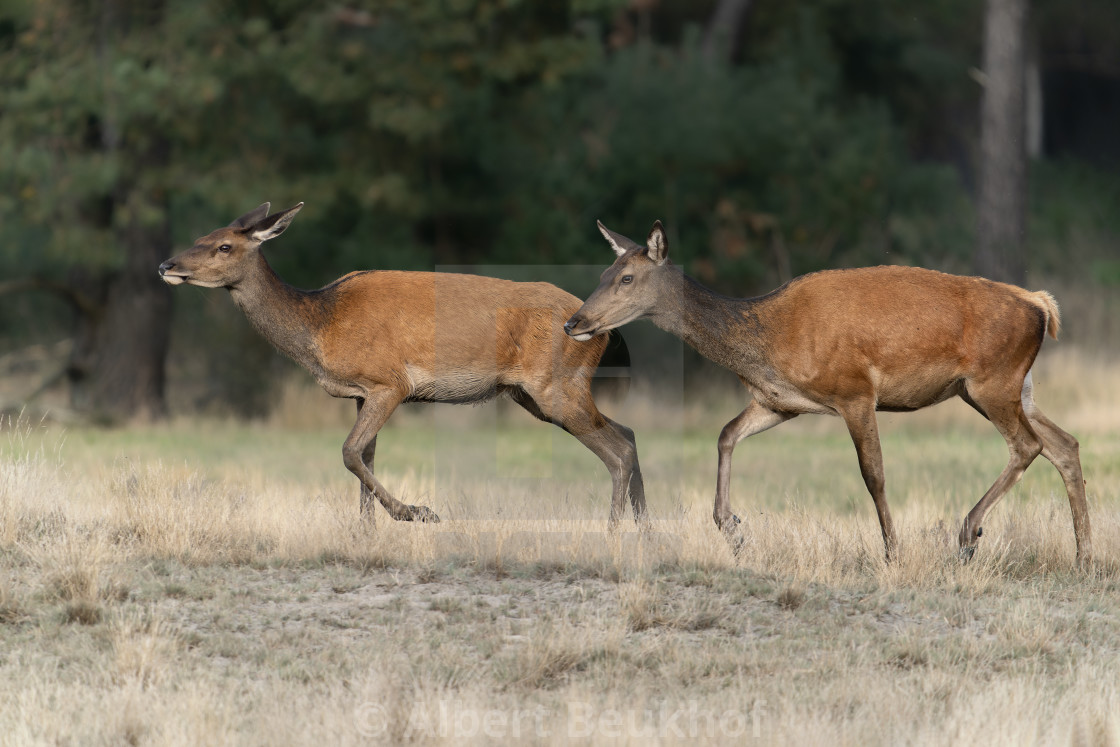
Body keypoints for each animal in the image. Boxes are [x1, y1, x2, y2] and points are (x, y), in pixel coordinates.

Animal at [159, 204, 649, 528]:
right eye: (201, 237)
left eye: (223, 246)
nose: (166, 264)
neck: (320, 327)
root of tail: (599, 327)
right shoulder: (360, 394)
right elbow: (367, 457)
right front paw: (365, 532)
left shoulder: (388, 381)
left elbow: (350, 452)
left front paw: (417, 513)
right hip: (535, 393)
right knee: (627, 432)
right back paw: (643, 530)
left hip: (556, 384)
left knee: (619, 450)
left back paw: (613, 532)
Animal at [564, 220, 1088, 566]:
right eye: (602, 276)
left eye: (626, 278)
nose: (575, 322)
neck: (770, 340)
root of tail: (1041, 305)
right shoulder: (781, 403)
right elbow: (726, 433)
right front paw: (731, 529)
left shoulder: (854, 390)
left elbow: (873, 474)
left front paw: (892, 552)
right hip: (1010, 388)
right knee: (1064, 444)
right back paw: (1084, 553)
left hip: (992, 380)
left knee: (1029, 445)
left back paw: (968, 533)